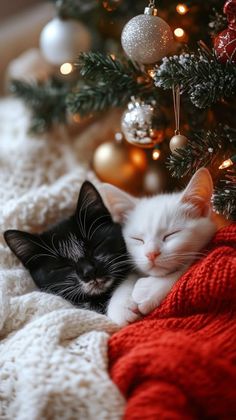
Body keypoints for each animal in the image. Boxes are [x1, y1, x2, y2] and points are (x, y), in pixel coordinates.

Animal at [102, 167, 227, 324]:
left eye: (171, 234)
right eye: (137, 239)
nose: (151, 254)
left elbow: (187, 265)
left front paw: (150, 289)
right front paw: (121, 304)